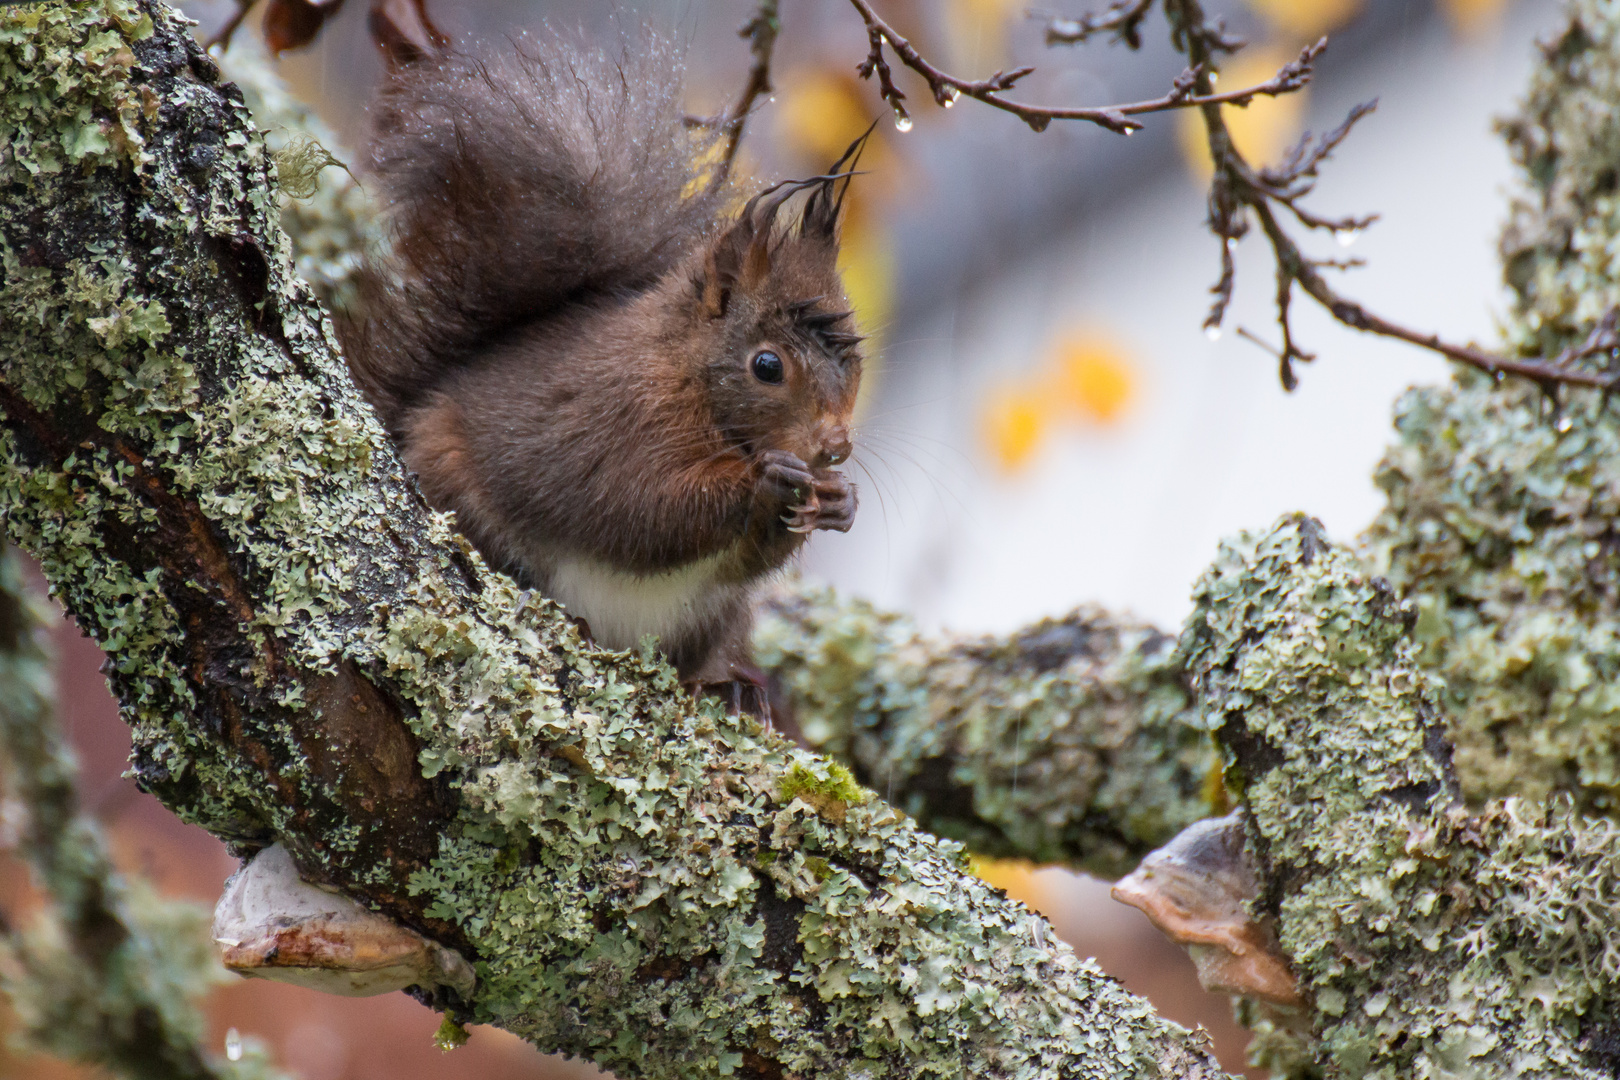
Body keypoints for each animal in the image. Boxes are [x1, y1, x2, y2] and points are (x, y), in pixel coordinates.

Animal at [341, 31, 868, 709]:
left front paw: (839, 502)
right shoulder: (612, 420)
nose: (835, 447)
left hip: (712, 617)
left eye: (857, 363)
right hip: (456, 490)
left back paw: (726, 689)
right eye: (767, 366)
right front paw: (765, 480)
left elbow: (742, 558)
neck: (687, 375)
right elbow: (638, 507)